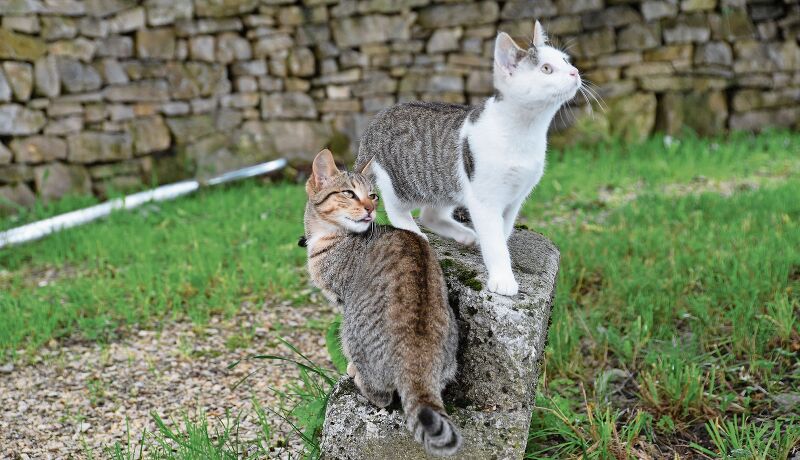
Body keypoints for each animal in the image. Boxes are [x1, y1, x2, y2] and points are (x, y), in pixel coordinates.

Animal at [304, 151, 460, 456]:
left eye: (372, 195)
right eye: (349, 193)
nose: (369, 208)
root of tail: (418, 359)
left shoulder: (342, 299)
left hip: (350, 328)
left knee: (383, 396)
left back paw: (359, 377)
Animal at [356, 20, 580, 294]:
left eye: (565, 60)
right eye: (546, 69)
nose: (575, 72)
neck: (525, 131)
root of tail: (375, 121)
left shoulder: (516, 197)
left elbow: (501, 232)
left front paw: (495, 255)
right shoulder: (484, 199)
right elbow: (494, 238)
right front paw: (502, 277)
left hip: (445, 182)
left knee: (430, 215)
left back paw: (465, 235)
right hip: (402, 182)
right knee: (395, 206)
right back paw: (413, 230)